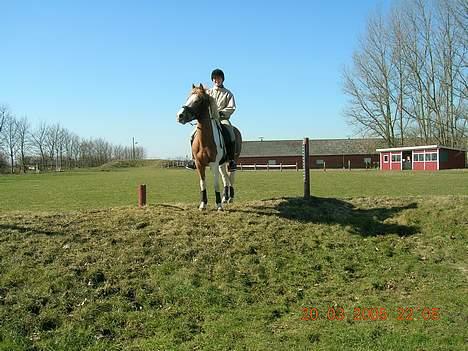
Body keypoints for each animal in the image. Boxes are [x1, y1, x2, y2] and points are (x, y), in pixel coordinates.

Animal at [176, 84, 241, 212]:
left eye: (198, 100)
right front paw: (203, 204)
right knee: (225, 178)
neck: (205, 141)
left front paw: (219, 206)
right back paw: (225, 198)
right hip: (222, 164)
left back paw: (230, 198)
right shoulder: (199, 164)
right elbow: (203, 183)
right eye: (188, 98)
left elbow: (216, 184)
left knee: (231, 177)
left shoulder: (213, 164)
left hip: (231, 161)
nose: (180, 116)